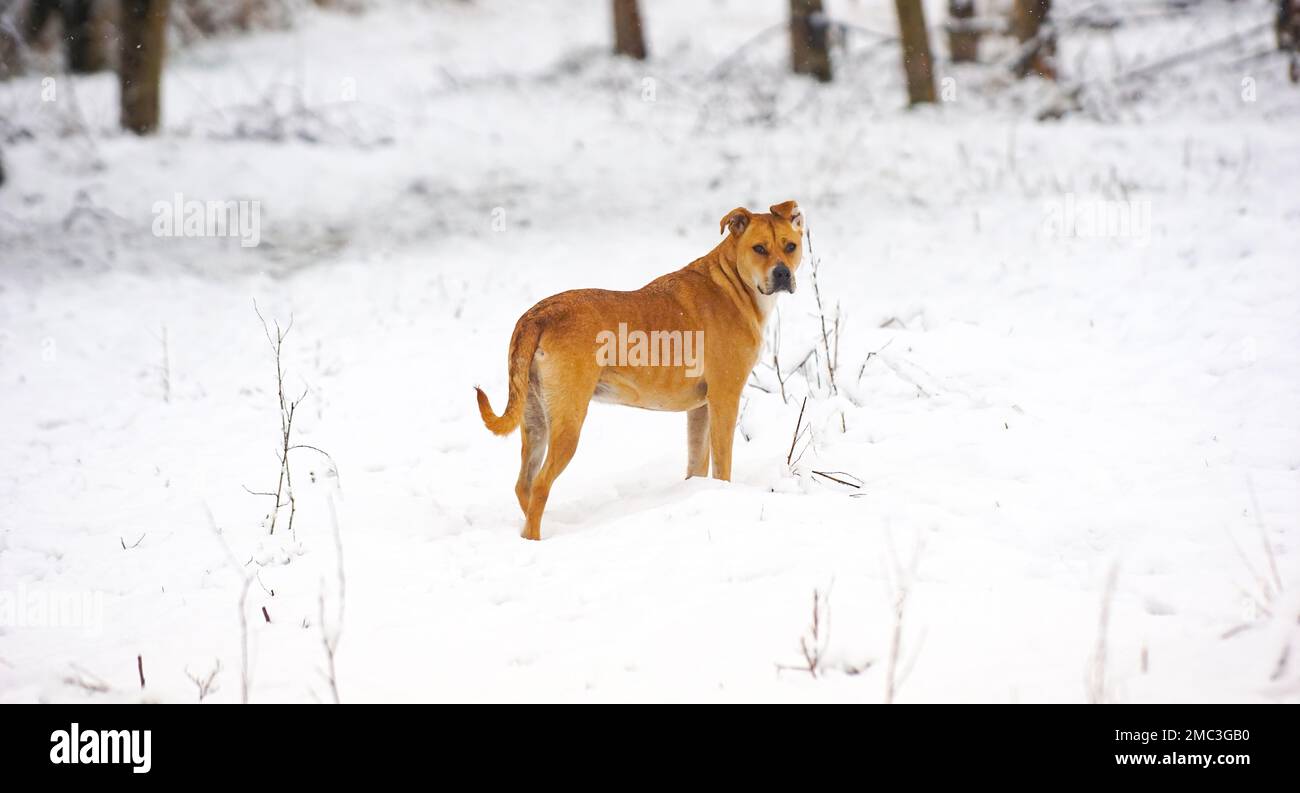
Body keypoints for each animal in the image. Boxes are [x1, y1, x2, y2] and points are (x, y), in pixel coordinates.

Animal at [478, 200, 800, 540]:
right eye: (759, 248)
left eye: (790, 246)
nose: (783, 274)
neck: (734, 283)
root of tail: (537, 315)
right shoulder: (725, 399)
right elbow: (722, 466)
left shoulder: (700, 408)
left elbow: (696, 465)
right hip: (568, 423)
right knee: (540, 485)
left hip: (534, 419)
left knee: (523, 485)